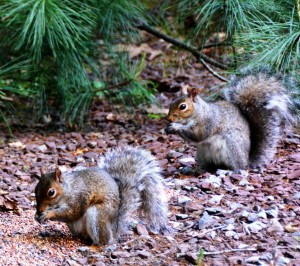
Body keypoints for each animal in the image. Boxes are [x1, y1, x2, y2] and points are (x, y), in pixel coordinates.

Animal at [35, 147, 169, 244]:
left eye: (51, 192)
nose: (40, 210)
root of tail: (114, 229)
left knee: (104, 241)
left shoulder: (79, 198)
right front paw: (36, 216)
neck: (68, 190)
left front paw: (48, 214)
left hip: (97, 214)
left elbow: (71, 213)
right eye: (36, 189)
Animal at [165, 68, 296, 171]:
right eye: (171, 103)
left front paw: (175, 127)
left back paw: (229, 171)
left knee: (238, 167)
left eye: (183, 106)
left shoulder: (209, 121)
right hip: (202, 154)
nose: (169, 118)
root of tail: (246, 160)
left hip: (232, 146)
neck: (200, 112)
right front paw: (168, 129)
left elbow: (198, 135)